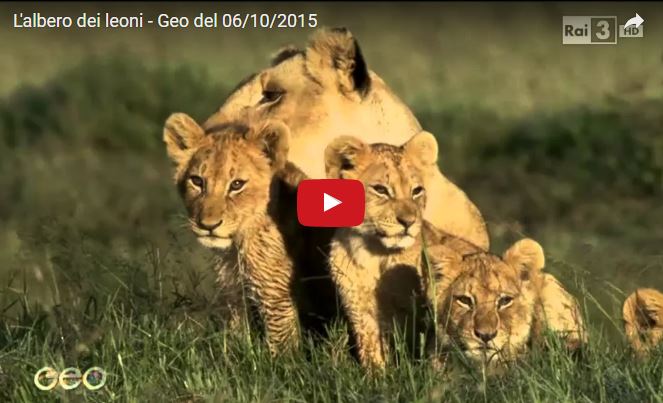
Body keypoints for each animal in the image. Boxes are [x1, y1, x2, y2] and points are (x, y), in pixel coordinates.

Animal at [163, 113, 338, 355]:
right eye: (197, 181)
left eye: (237, 184)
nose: (208, 225)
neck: (235, 247)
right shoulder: (235, 294)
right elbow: (237, 340)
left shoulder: (276, 296)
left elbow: (282, 349)